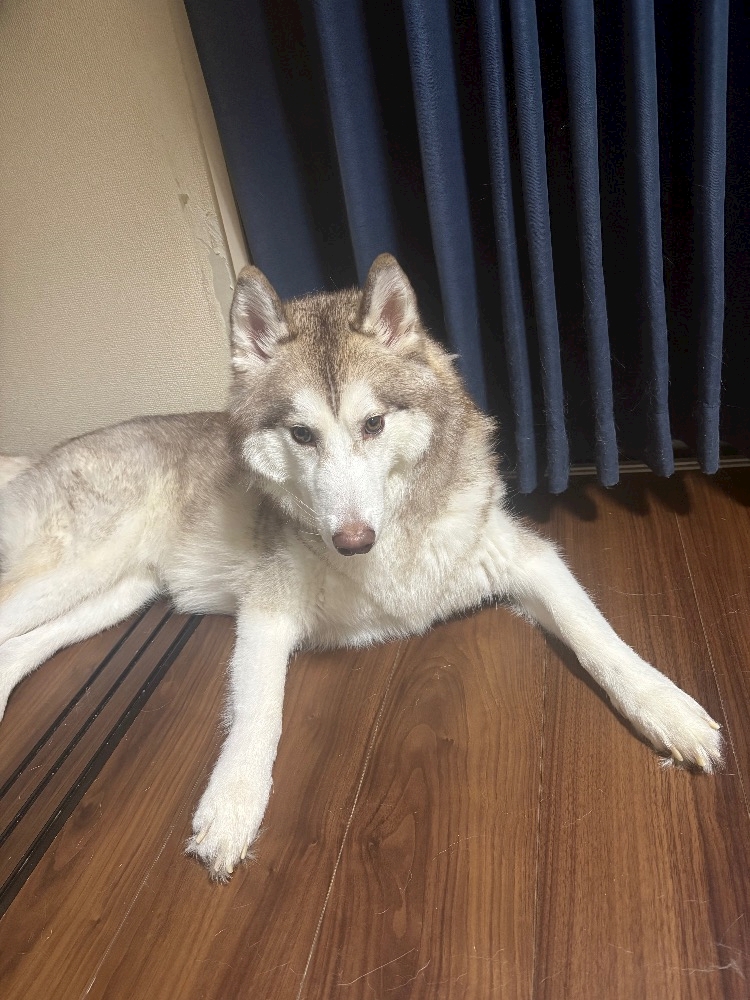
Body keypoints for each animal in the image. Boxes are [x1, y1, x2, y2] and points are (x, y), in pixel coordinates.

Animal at [0, 254, 723, 879]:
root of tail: (42, 453)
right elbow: (260, 714)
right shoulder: (266, 613)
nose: (352, 540)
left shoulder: (527, 557)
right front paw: (233, 805)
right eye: (301, 435)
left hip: (115, 594)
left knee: (17, 647)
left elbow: (599, 639)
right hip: (82, 570)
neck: (392, 546)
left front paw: (669, 708)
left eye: (373, 424)